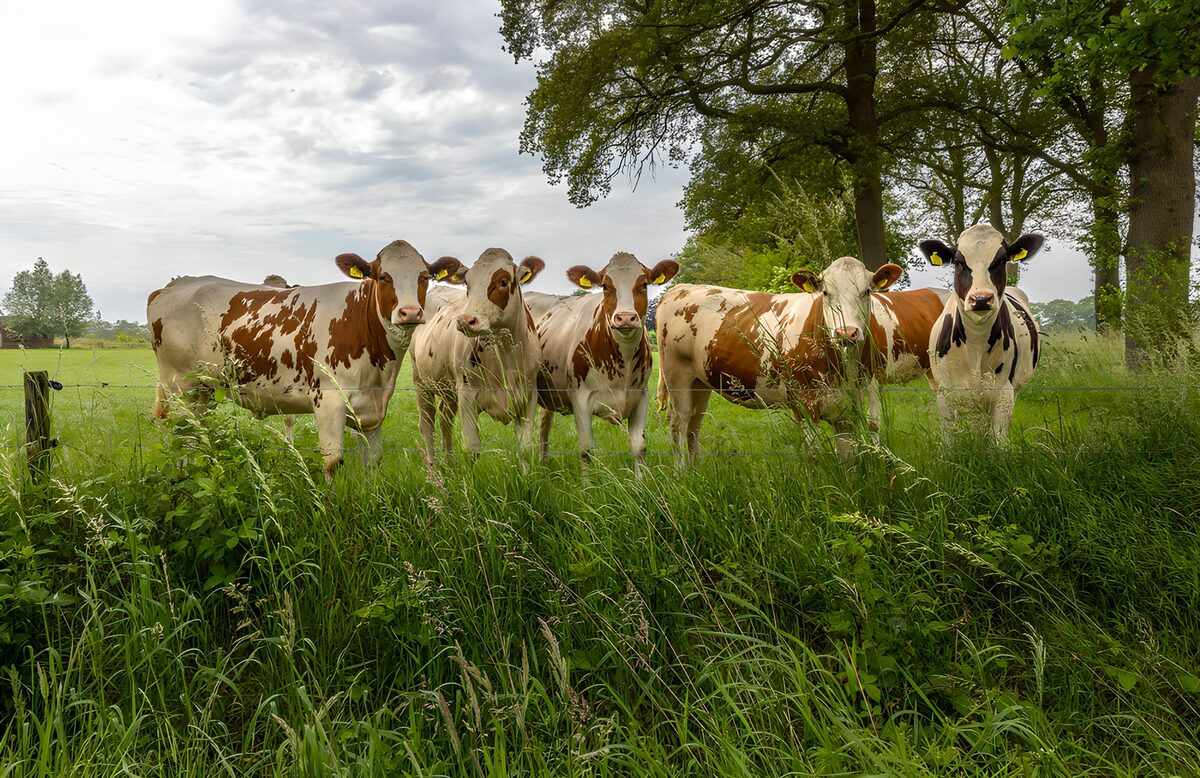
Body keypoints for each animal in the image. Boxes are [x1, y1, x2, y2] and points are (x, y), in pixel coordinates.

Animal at [148, 239, 454, 480]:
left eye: (424, 276)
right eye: (383, 277)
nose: (410, 312)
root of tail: (174, 284)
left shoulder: (372, 408)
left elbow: (372, 462)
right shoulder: (328, 400)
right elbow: (332, 463)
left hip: (204, 389)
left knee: (195, 435)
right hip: (179, 386)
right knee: (181, 437)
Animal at [411, 248, 546, 460]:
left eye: (503, 281)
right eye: (468, 282)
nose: (466, 320)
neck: (504, 355)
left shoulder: (528, 396)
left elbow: (525, 448)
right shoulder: (467, 395)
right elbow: (472, 448)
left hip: (448, 390)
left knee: (445, 420)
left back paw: (449, 463)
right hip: (421, 382)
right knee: (427, 426)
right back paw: (434, 467)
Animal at [533, 252, 679, 464]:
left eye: (644, 284)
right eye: (605, 286)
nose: (625, 317)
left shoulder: (640, 397)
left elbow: (640, 447)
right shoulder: (580, 400)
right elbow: (586, 450)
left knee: (544, 424)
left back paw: (544, 463)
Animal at [655, 256, 904, 460]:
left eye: (867, 291)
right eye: (825, 293)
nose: (846, 332)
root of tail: (680, 288)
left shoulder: (848, 411)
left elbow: (848, 459)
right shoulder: (803, 405)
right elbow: (813, 455)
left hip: (700, 383)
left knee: (693, 426)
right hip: (678, 378)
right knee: (679, 425)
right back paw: (683, 475)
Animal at [918, 224, 1044, 440]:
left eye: (1001, 260)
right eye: (958, 262)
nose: (981, 299)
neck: (976, 343)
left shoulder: (1003, 393)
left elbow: (999, 440)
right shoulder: (945, 394)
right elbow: (950, 438)